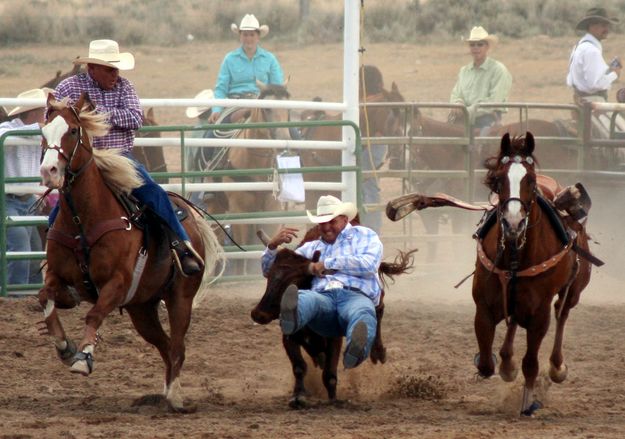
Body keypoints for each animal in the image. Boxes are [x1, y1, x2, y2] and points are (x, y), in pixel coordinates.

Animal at [37, 94, 223, 414]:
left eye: (72, 130)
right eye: (43, 132)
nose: (49, 171)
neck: (83, 219)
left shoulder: (117, 282)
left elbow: (94, 315)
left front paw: (83, 358)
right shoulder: (56, 275)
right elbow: (45, 298)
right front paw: (65, 347)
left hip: (180, 298)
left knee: (177, 346)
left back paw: (175, 397)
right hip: (142, 308)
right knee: (165, 345)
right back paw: (166, 392)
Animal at [472, 132, 588, 418]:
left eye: (531, 181)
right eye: (498, 179)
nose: (513, 222)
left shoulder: (539, 315)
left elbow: (531, 363)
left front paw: (527, 403)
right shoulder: (483, 308)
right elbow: (486, 363)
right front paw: (503, 365)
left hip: (573, 291)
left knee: (562, 314)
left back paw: (557, 368)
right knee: (514, 322)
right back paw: (507, 361)